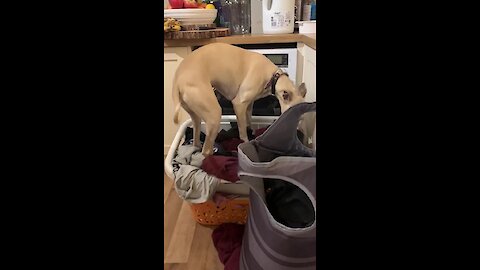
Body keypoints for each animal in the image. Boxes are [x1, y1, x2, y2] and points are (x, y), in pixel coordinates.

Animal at [172, 42, 308, 156]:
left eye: (301, 119)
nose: (297, 135)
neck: (273, 76)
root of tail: (178, 81)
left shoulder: (249, 105)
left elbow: (249, 122)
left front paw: (251, 132)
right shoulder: (239, 104)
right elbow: (242, 131)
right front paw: (246, 142)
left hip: (196, 118)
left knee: (196, 140)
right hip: (214, 116)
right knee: (206, 151)